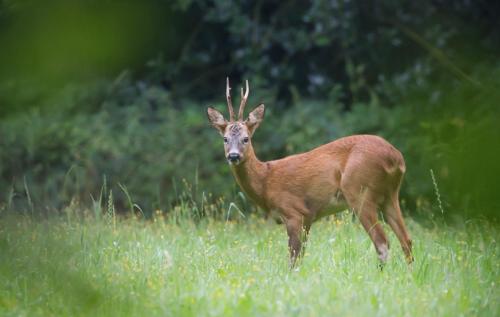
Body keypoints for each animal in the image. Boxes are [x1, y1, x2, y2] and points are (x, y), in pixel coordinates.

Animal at [207, 77, 414, 266]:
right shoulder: (308, 217)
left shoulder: (294, 211)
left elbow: (293, 258)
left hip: (359, 190)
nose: (233, 156)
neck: (265, 181)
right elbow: (300, 257)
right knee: (407, 240)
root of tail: (396, 158)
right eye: (225, 139)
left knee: (382, 242)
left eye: (246, 138)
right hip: (389, 195)